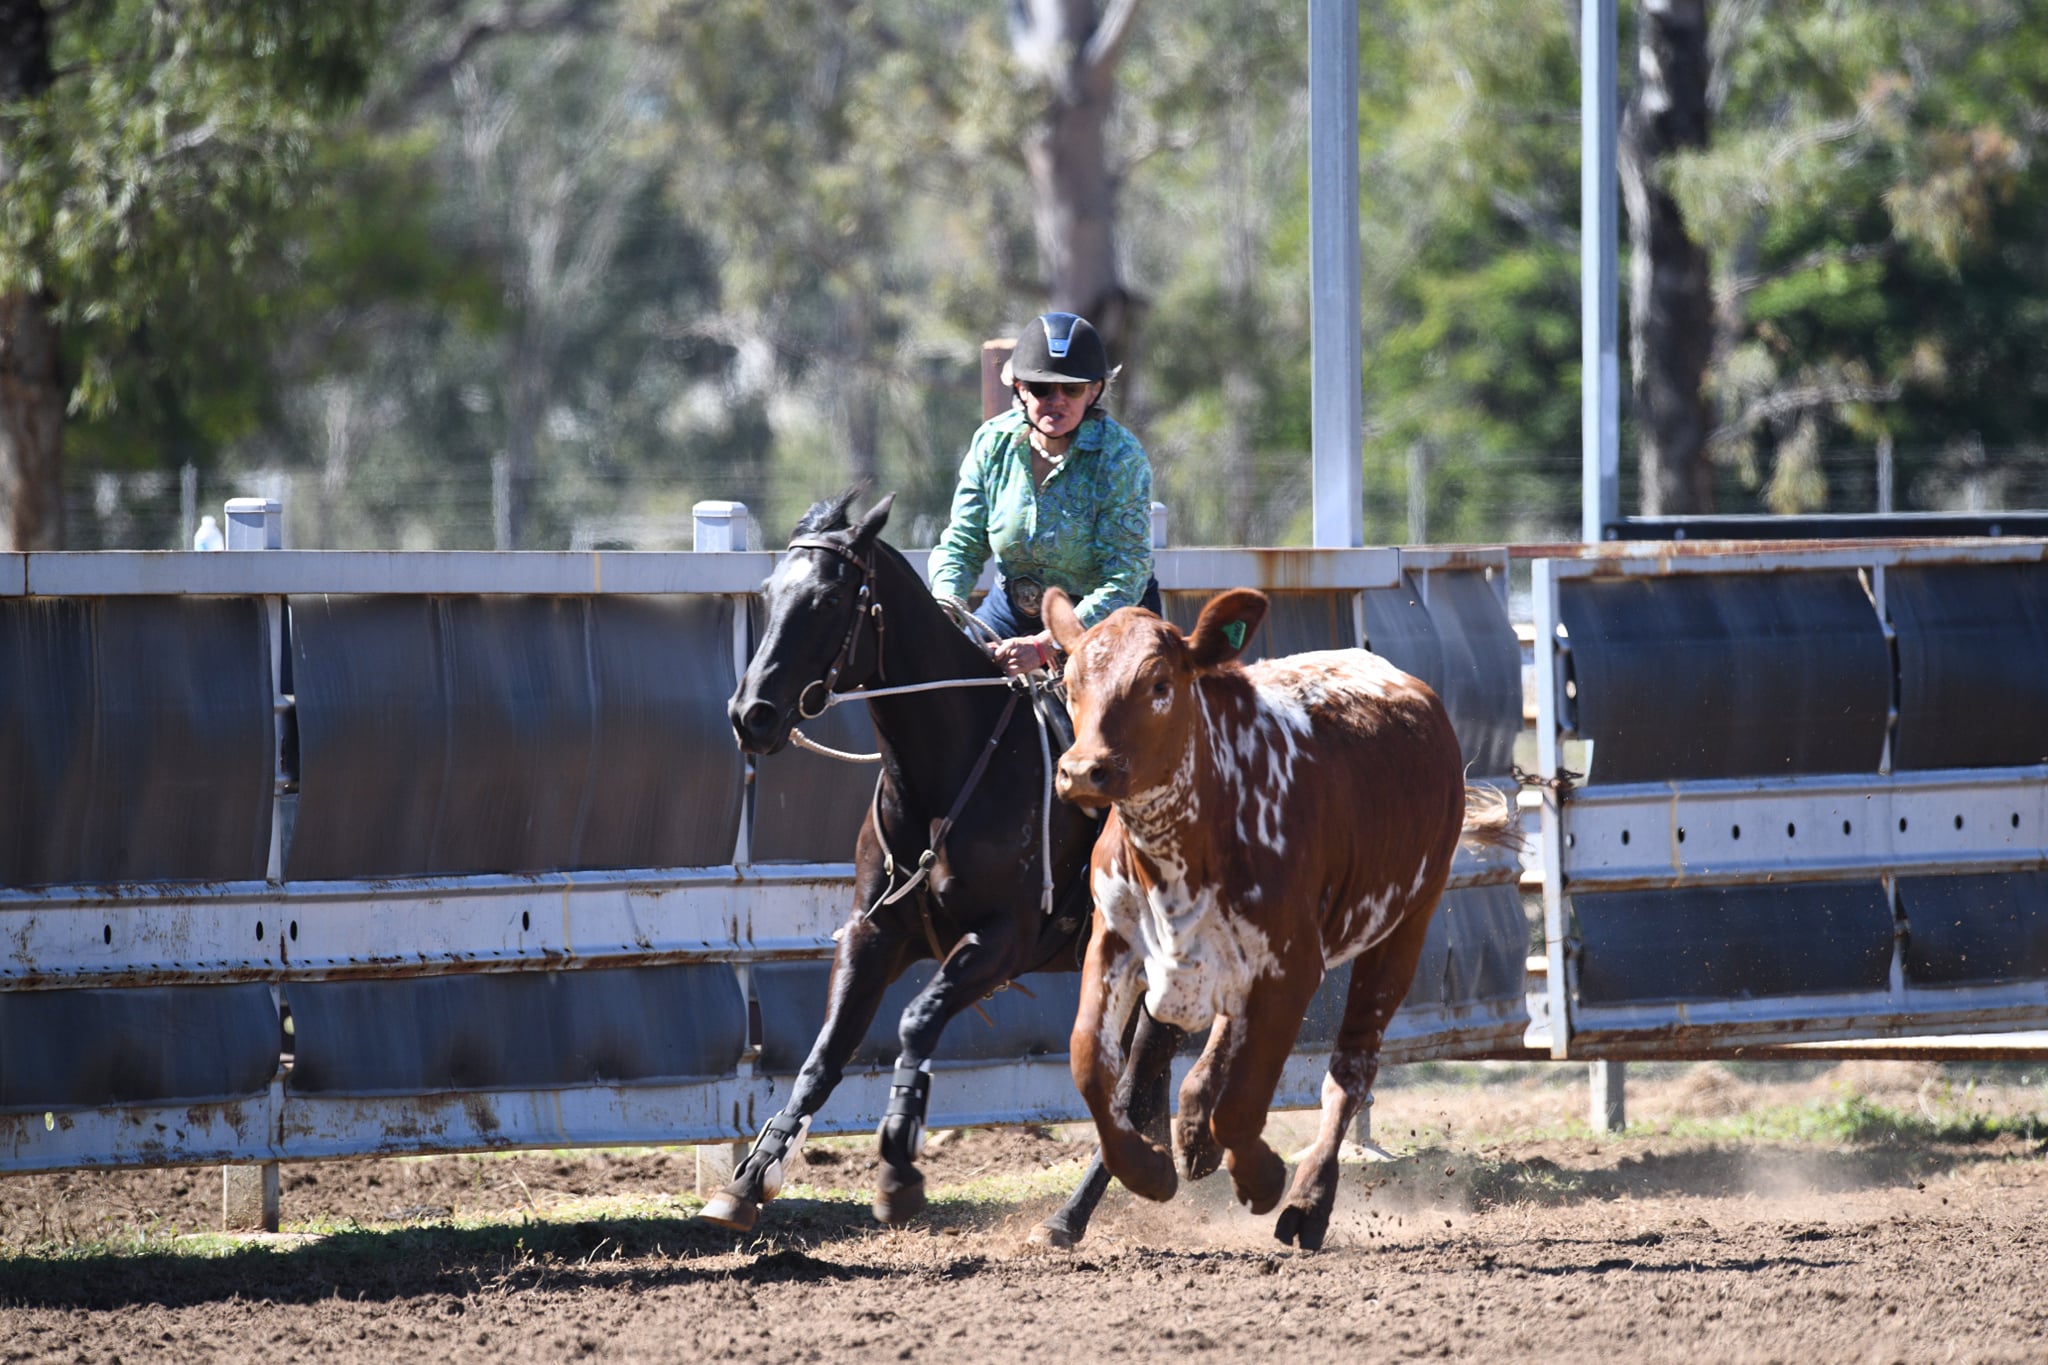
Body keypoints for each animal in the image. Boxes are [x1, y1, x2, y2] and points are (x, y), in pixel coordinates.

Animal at [702, 489, 1179, 1245]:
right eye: (770, 592)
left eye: (829, 599)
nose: (752, 714)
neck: (949, 771)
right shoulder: (872, 934)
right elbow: (823, 1053)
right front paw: (748, 1179)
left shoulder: (1002, 940)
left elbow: (917, 1020)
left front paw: (899, 1165)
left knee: (1134, 1087)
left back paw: (1070, 1215)